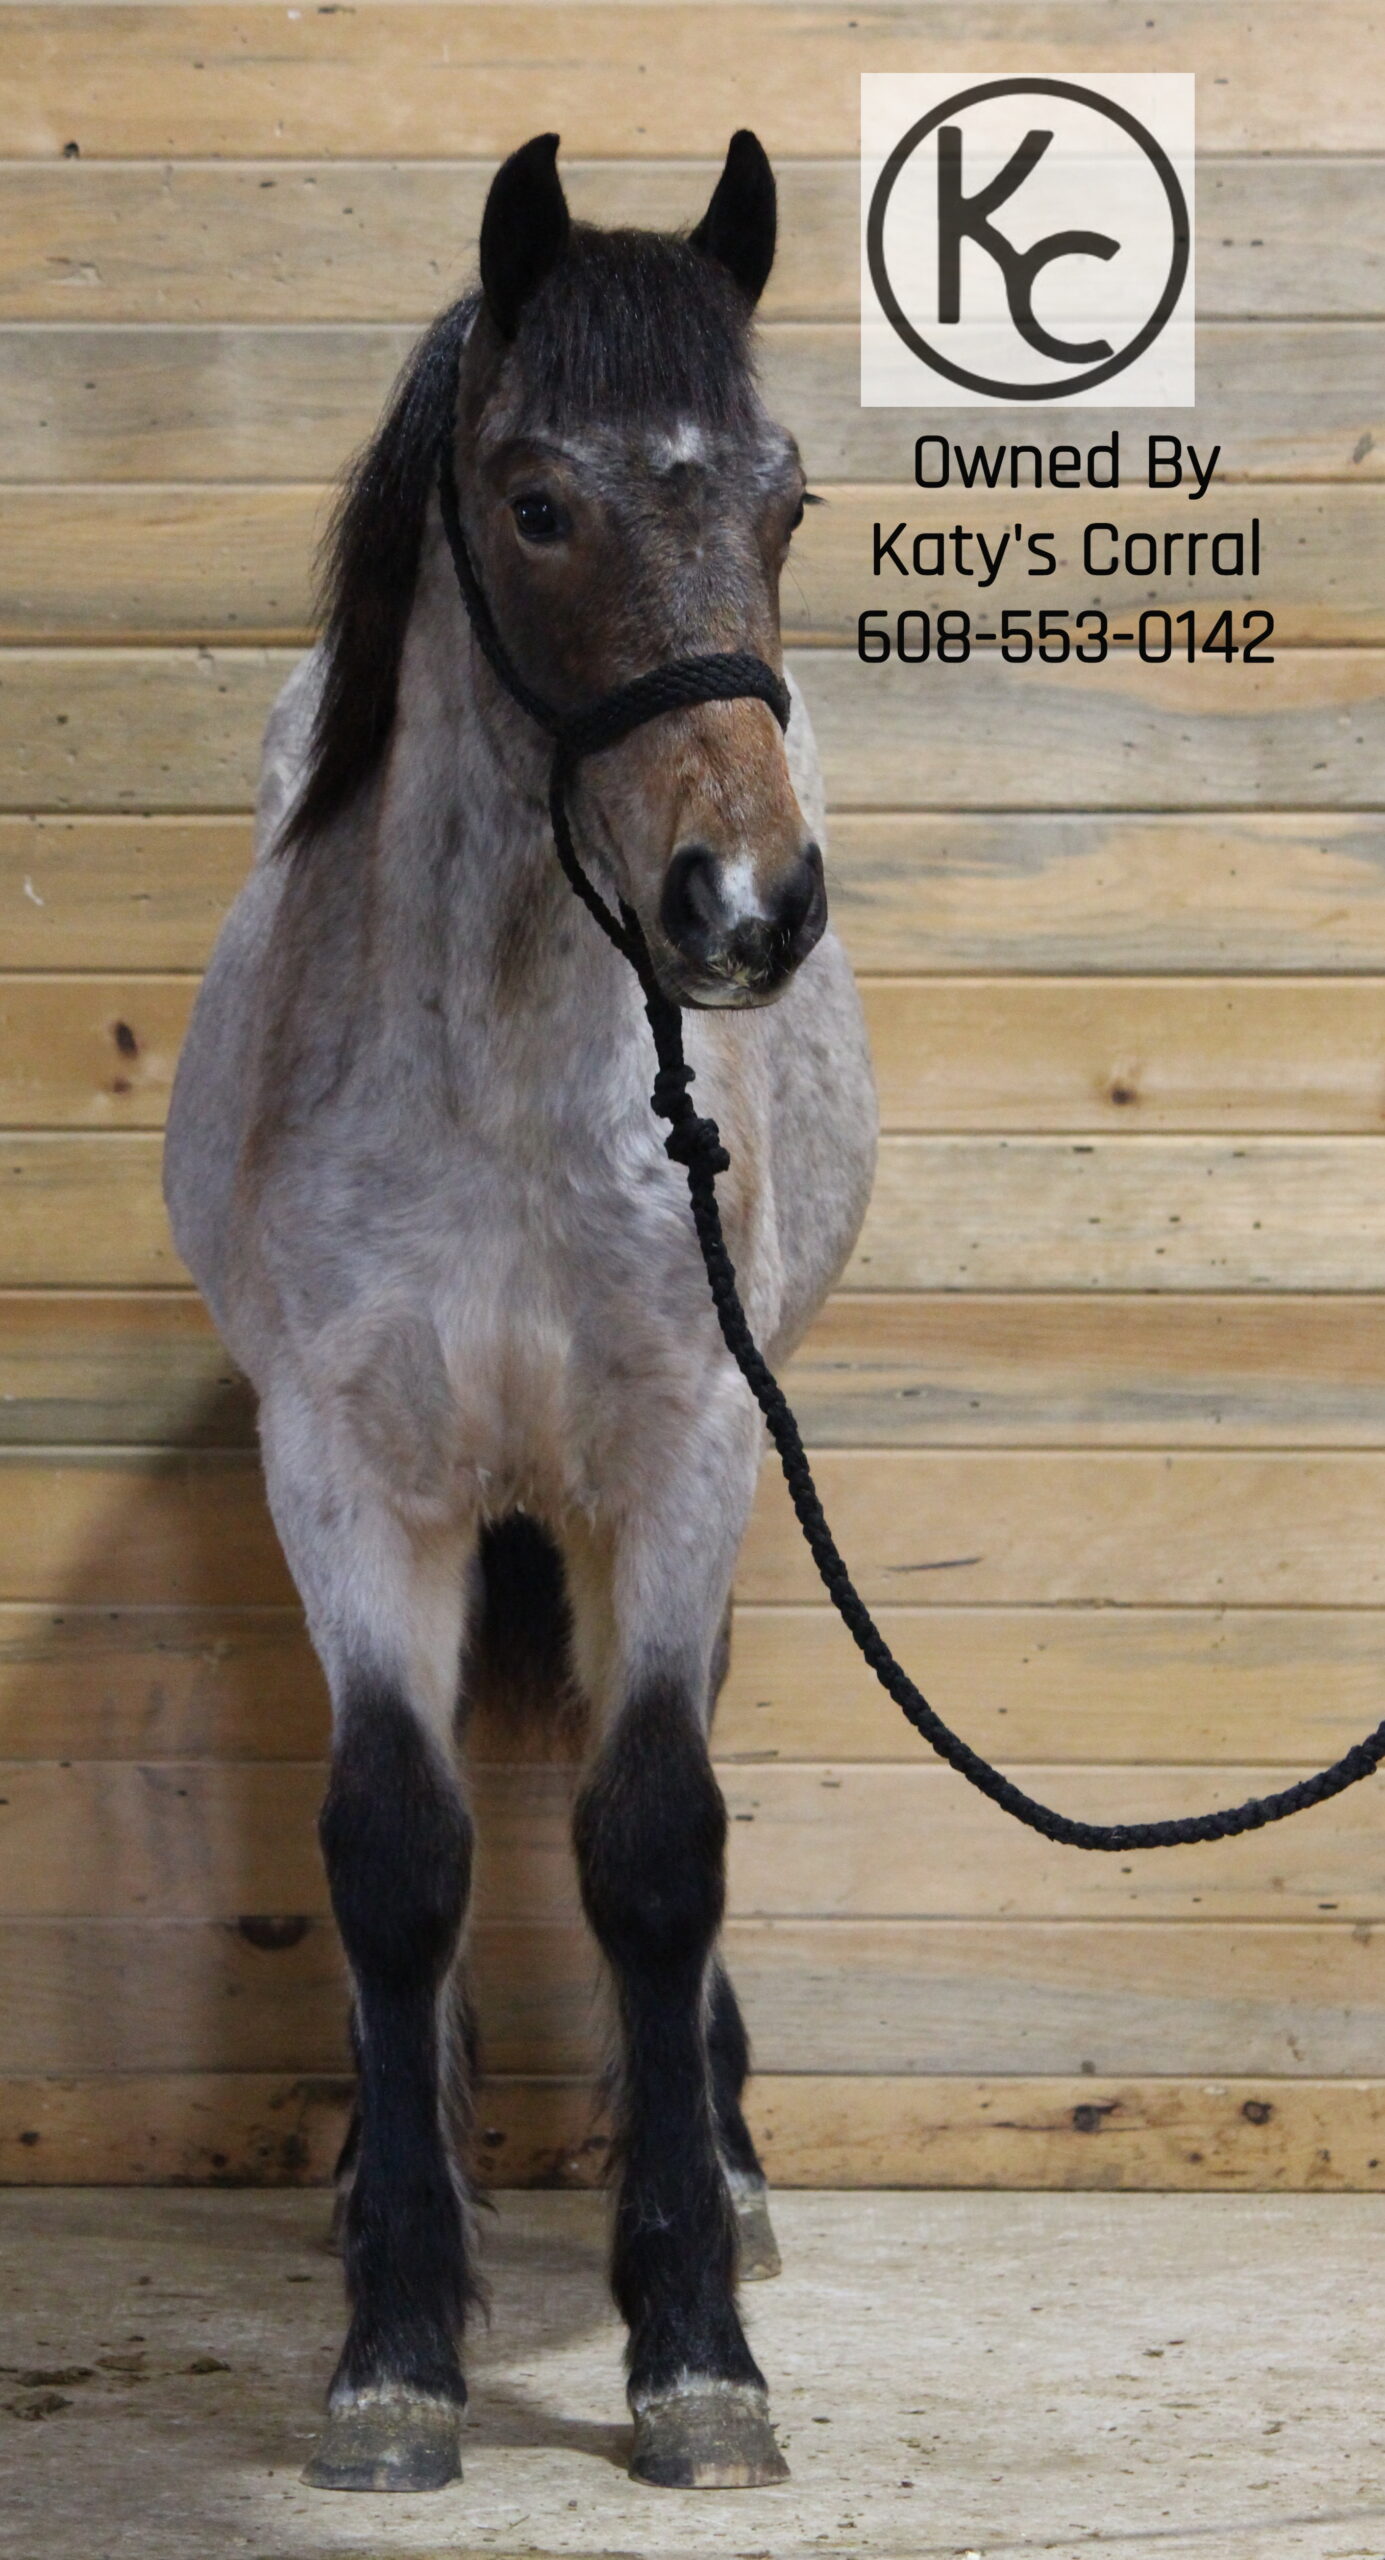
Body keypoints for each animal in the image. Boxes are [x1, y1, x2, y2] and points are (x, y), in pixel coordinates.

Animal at [164, 127, 878, 2497]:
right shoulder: (343, 1477)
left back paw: (719, 2168)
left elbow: (656, 1845)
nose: (741, 907)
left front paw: (690, 2348)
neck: (493, 1072)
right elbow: (397, 1854)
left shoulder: (683, 1456)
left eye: (783, 501)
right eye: (540, 503)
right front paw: (396, 2337)